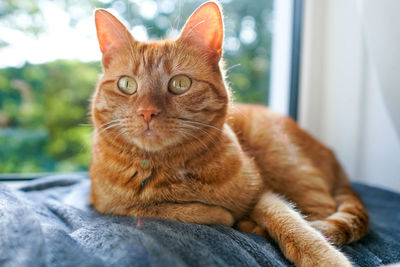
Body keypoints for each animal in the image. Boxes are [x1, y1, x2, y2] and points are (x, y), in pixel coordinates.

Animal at [89, 1, 368, 266]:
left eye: (180, 84)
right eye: (127, 85)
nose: (147, 112)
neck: (169, 170)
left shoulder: (262, 193)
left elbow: (294, 224)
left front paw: (325, 258)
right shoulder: (106, 204)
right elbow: (161, 209)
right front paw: (221, 213)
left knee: (322, 215)